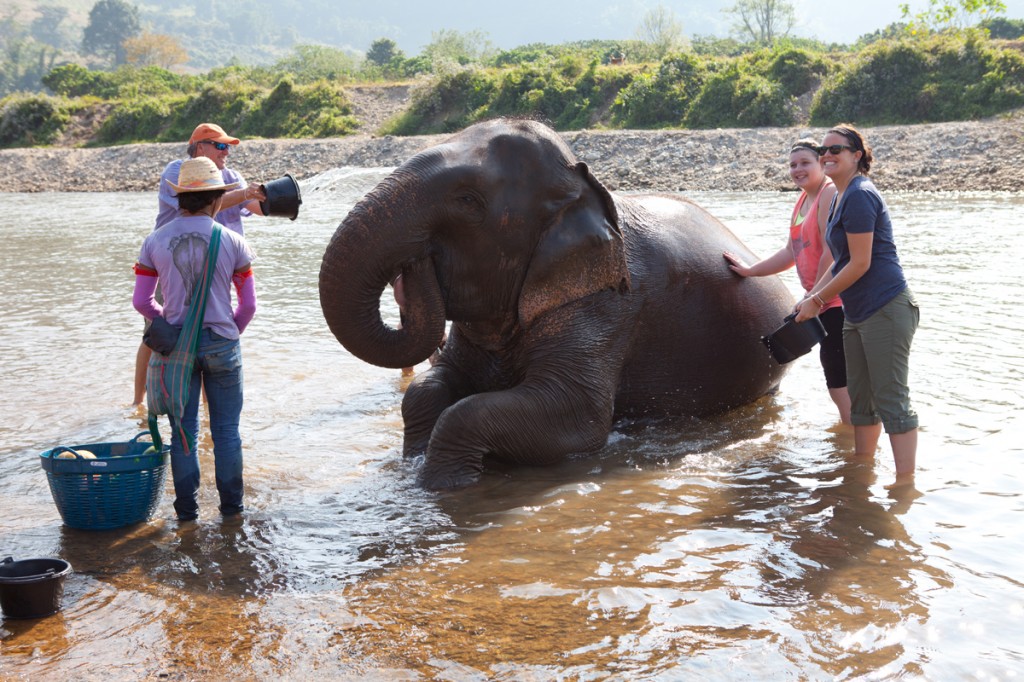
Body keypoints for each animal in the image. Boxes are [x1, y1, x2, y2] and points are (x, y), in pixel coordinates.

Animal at [319, 118, 790, 489]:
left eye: (467, 200)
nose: (413, 265)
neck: (583, 187)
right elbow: (426, 389)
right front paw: (414, 462)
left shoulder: (609, 309)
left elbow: (578, 417)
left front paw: (442, 485)